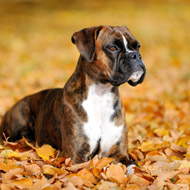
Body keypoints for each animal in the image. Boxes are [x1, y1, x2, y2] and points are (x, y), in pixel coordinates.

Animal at [0, 25, 145, 166]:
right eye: (113, 48)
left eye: (137, 46)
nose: (136, 55)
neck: (101, 94)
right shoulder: (76, 156)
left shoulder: (119, 154)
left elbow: (133, 167)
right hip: (21, 114)